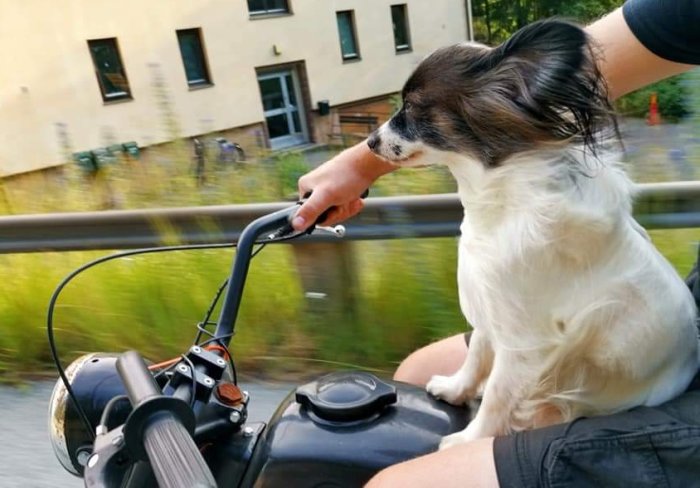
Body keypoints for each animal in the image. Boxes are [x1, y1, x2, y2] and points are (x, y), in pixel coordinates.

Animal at [366, 20, 700, 450]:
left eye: (411, 108)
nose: (370, 142)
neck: (500, 203)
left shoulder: (524, 344)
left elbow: (497, 395)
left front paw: (470, 439)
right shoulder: (493, 310)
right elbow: (477, 354)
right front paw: (457, 389)